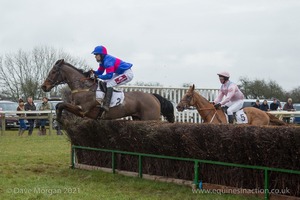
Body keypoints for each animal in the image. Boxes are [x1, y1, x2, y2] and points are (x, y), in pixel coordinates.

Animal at [41, 58, 175, 122]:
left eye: (53, 72)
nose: (44, 86)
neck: (84, 88)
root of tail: (153, 97)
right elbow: (59, 105)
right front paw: (58, 118)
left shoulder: (82, 110)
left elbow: (61, 104)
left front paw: (59, 119)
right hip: (137, 118)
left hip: (150, 118)